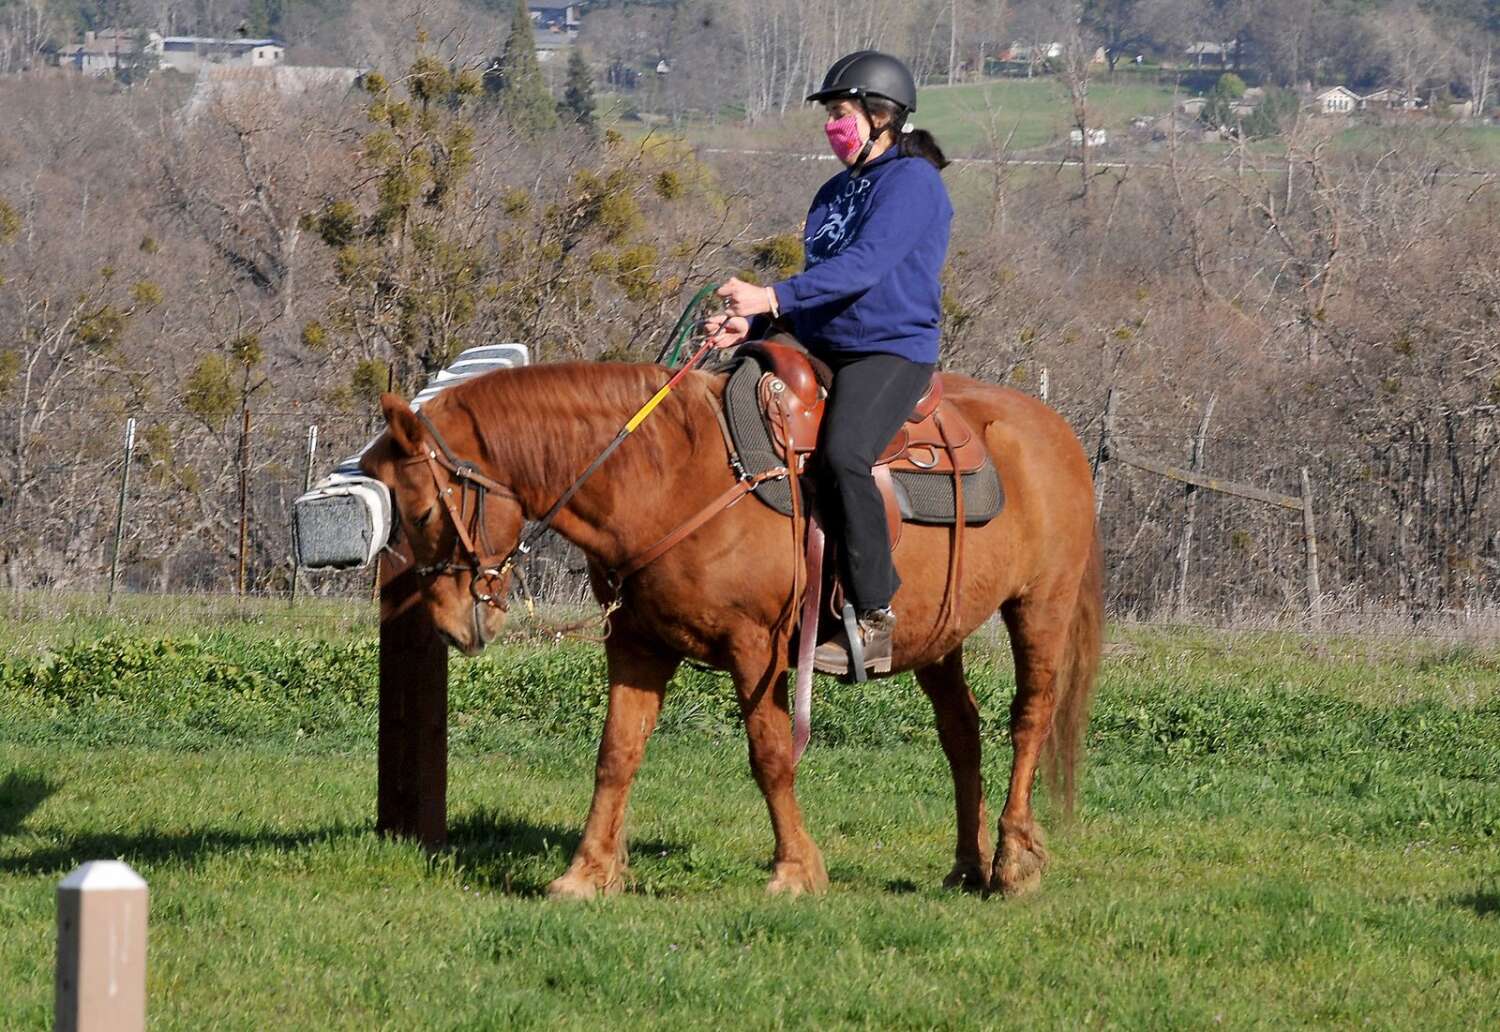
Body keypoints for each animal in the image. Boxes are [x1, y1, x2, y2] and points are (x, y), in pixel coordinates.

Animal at [360, 358, 1102, 899]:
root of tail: (1056, 431)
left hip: (1040, 605)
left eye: (422, 511)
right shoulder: (637, 646)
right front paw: (587, 873)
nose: (453, 624)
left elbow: (771, 755)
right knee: (962, 733)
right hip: (939, 637)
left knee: (1029, 719)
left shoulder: (758, 650)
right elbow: (616, 755)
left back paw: (1013, 861)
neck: (668, 478)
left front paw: (796, 870)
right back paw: (967, 865)